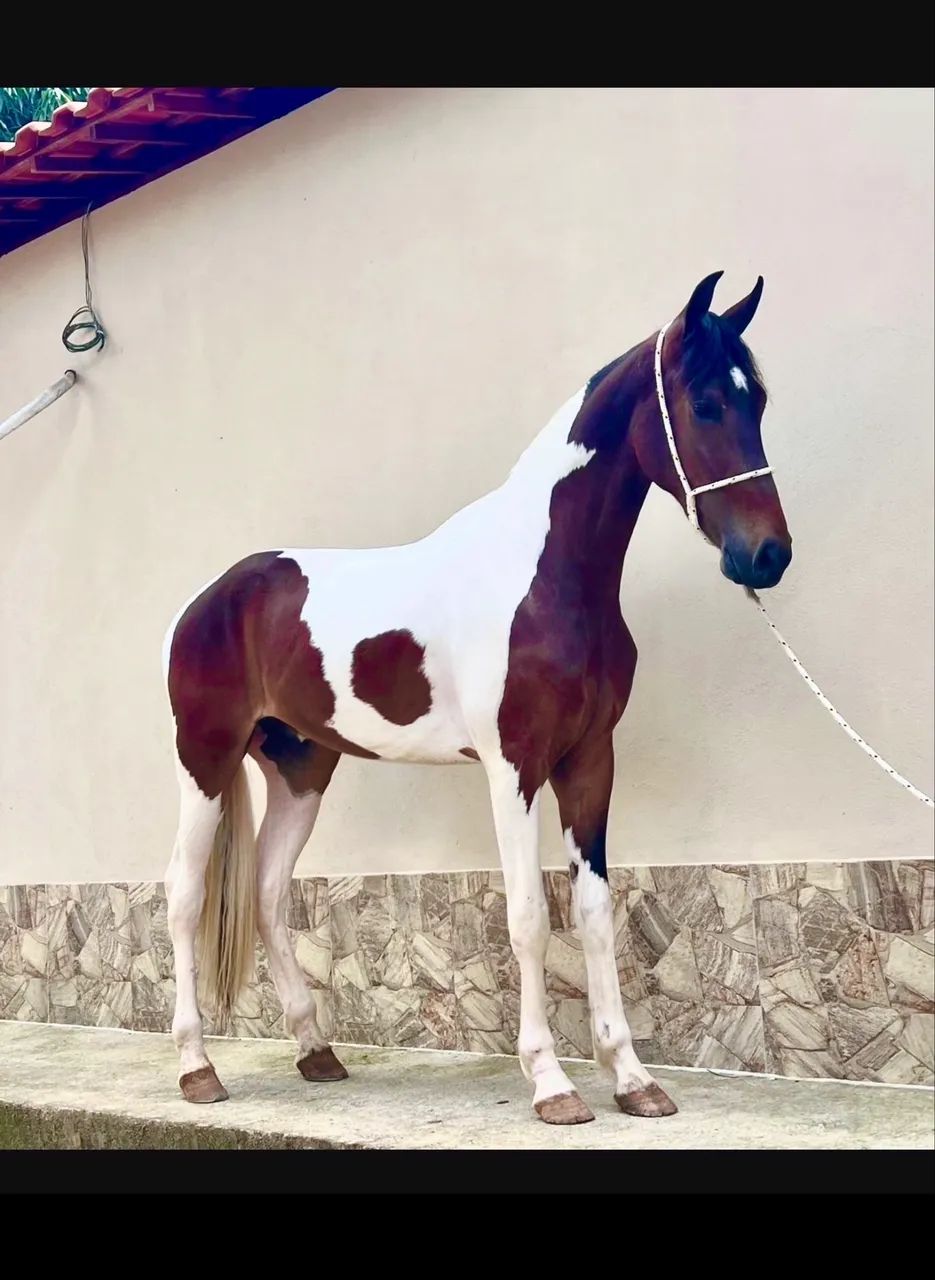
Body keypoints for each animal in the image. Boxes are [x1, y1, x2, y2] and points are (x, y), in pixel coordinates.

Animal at [162, 270, 792, 1125]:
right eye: (703, 402)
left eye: (755, 401)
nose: (767, 555)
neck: (546, 576)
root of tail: (210, 597)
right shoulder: (512, 766)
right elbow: (527, 918)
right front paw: (552, 1084)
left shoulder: (589, 759)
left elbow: (593, 913)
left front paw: (632, 1078)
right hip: (205, 758)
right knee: (185, 894)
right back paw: (198, 1069)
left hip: (300, 768)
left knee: (264, 892)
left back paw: (316, 1052)